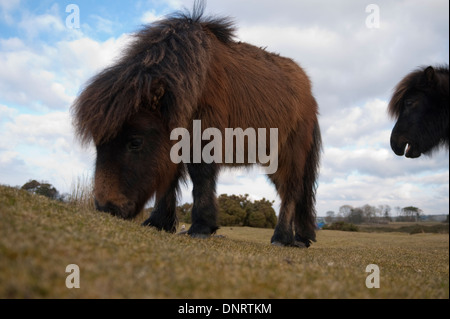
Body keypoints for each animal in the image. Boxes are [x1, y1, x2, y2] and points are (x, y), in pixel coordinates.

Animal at [72, 2, 322, 249]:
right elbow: (169, 178)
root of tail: (310, 94)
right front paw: (158, 222)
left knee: (291, 191)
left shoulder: (204, 136)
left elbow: (201, 175)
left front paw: (202, 226)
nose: (107, 209)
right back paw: (299, 238)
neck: (197, 77)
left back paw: (282, 237)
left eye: (135, 142)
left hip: (289, 155)